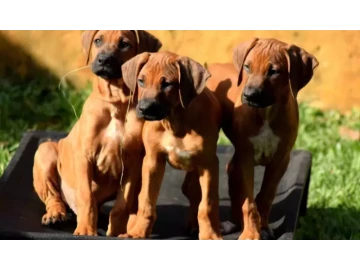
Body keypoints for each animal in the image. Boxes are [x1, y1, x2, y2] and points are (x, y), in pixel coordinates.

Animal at [32, 30, 162, 236]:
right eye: (98, 41)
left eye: (124, 44)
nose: (103, 60)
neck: (115, 102)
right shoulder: (85, 156)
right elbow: (86, 198)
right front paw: (85, 230)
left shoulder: (132, 163)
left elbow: (122, 204)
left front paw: (116, 232)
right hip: (46, 151)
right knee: (53, 196)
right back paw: (55, 214)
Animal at [118, 51, 224, 240]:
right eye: (141, 81)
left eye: (167, 84)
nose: (144, 109)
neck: (175, 121)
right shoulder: (152, 161)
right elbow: (146, 200)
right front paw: (139, 232)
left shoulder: (209, 165)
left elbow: (207, 205)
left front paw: (210, 235)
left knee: (197, 195)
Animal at [204, 37, 320, 239]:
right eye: (248, 67)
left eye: (274, 72)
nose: (249, 95)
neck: (266, 112)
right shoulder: (246, 159)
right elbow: (248, 202)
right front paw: (251, 233)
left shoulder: (281, 160)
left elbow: (266, 196)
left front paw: (263, 227)